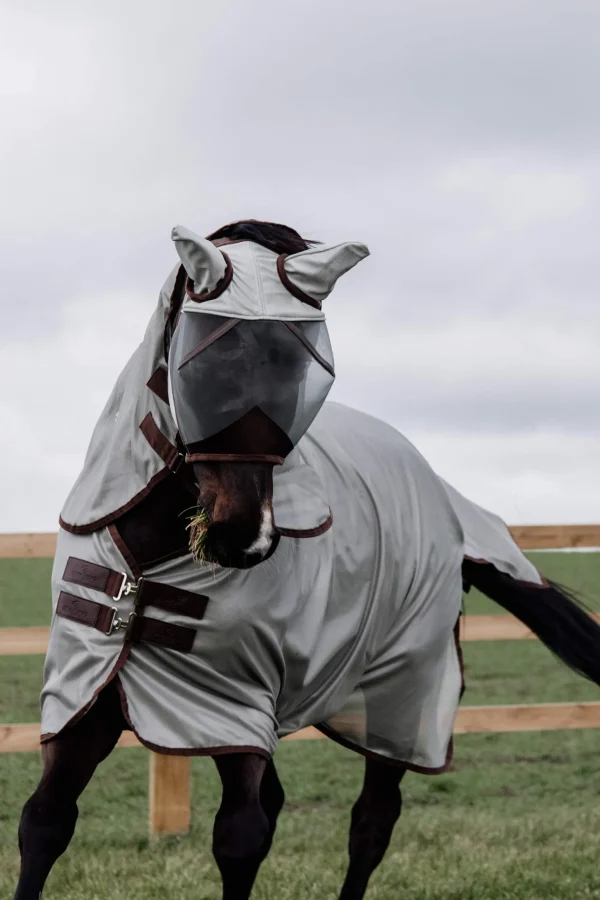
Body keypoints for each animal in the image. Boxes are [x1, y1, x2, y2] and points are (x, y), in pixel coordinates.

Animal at [12, 220, 600, 900]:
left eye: (300, 375)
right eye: (206, 365)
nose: (245, 538)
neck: (151, 566)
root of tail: (443, 496)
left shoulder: (233, 708)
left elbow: (239, 840)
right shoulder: (90, 698)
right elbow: (46, 822)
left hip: (402, 693)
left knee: (372, 821)